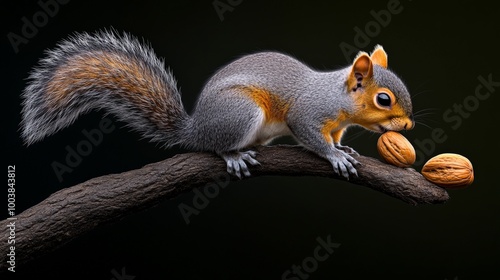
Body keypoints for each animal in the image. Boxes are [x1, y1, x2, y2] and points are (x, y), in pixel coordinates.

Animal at [19, 30, 412, 178]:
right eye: (383, 99)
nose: (408, 126)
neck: (337, 97)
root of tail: (196, 129)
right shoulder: (308, 112)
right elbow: (310, 135)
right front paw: (333, 155)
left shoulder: (338, 123)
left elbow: (336, 136)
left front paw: (343, 148)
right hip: (239, 113)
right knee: (217, 146)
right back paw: (233, 155)